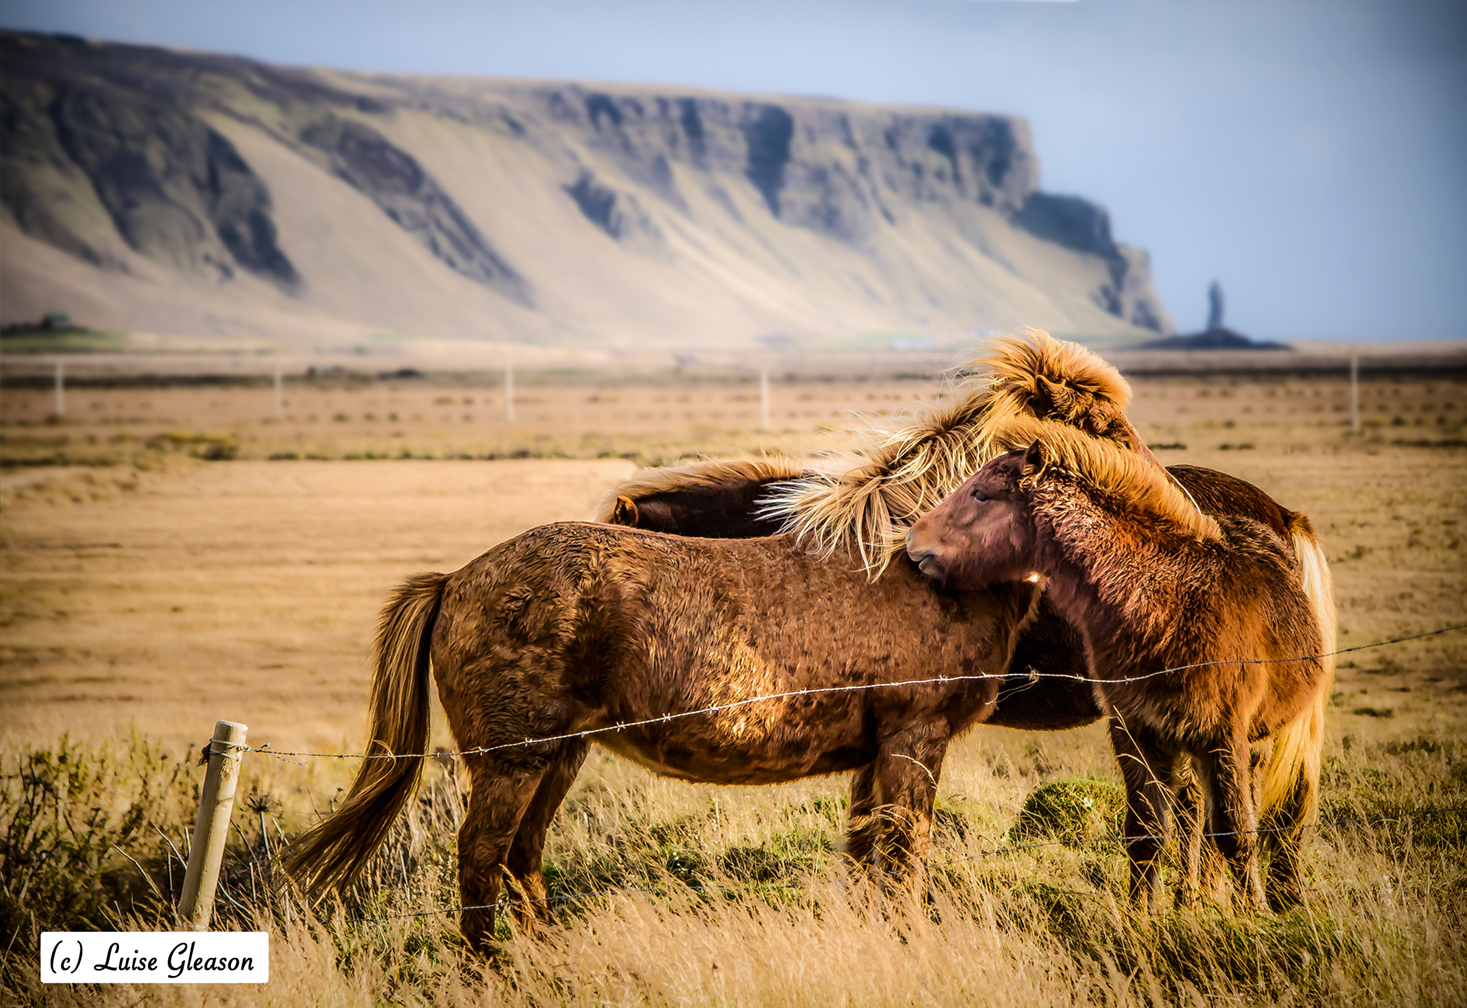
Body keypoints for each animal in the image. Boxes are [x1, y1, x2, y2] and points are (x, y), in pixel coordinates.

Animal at [905, 416, 1336, 911]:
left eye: (980, 494)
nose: (912, 541)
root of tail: (1282, 517)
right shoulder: (1135, 726)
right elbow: (1145, 832)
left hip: (1249, 741)